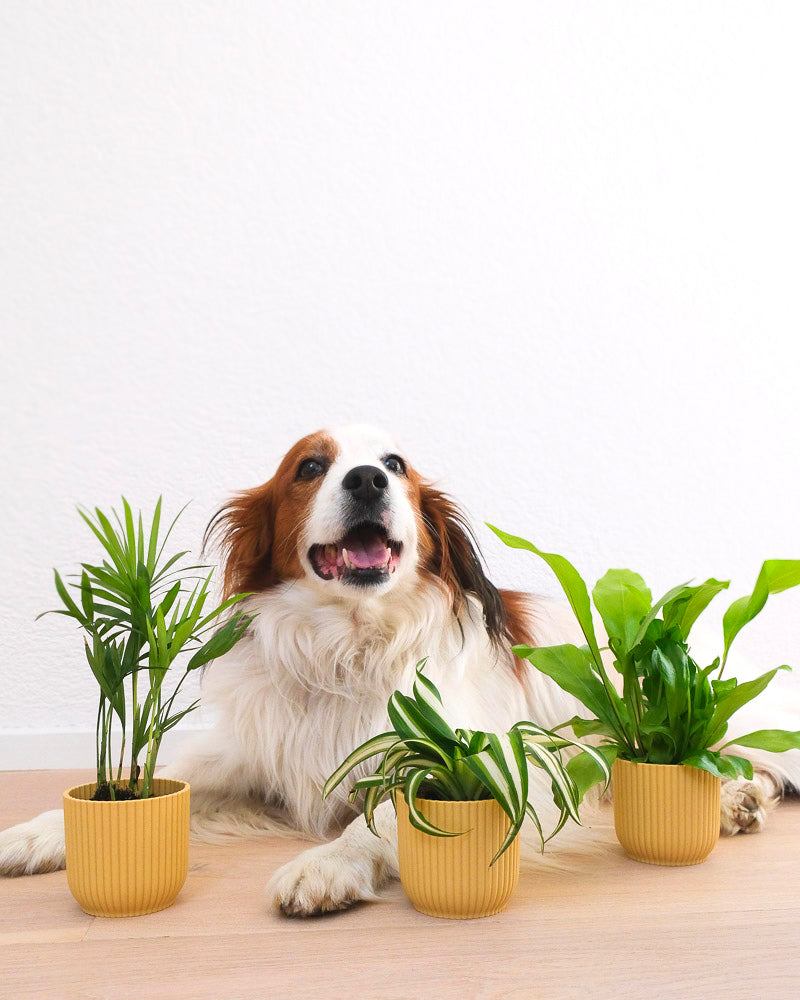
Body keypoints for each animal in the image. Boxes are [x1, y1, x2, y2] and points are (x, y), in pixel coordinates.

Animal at [0, 426, 796, 912]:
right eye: (310, 467)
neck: (346, 649)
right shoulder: (249, 759)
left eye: (395, 467)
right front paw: (36, 834)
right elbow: (146, 785)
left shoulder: (493, 762)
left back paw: (737, 801)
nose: (365, 481)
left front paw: (324, 865)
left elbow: (382, 815)